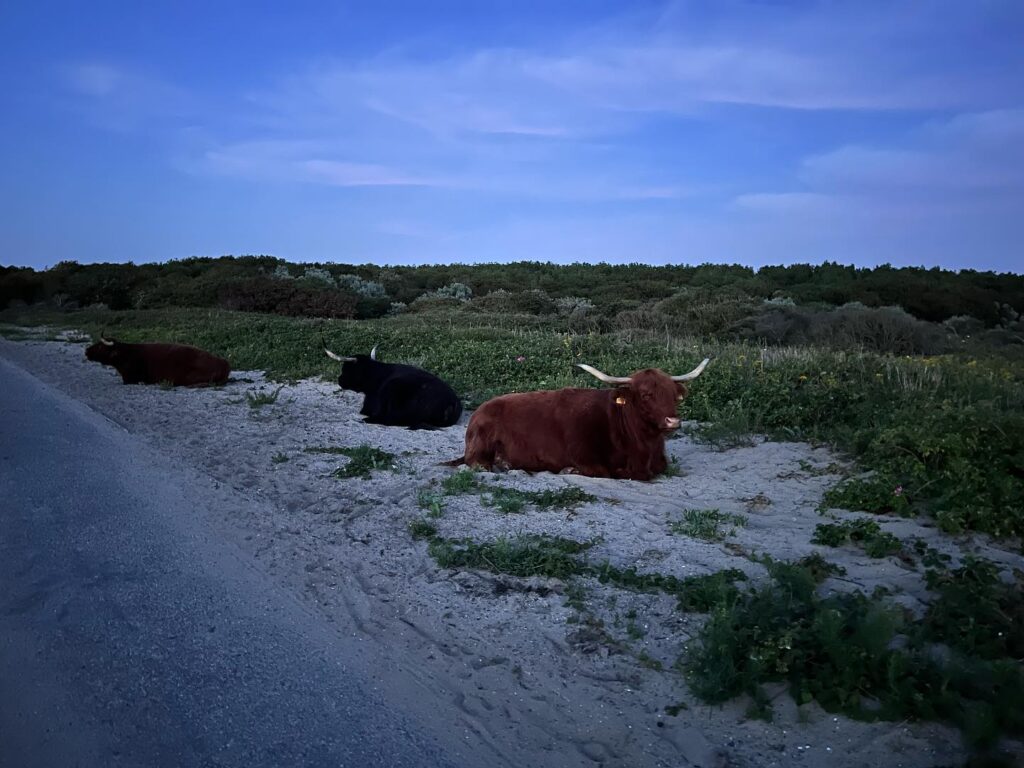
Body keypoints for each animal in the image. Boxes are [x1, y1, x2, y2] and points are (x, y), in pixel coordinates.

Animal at [323, 344, 464, 430]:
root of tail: (452, 401)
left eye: (346, 368)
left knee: (389, 419)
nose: (339, 380)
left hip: (393, 392)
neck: (377, 376)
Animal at [452, 360, 708, 481]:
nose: (672, 421)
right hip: (480, 448)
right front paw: (569, 470)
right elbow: (607, 472)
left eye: (674, 395)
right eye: (646, 395)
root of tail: (480, 410)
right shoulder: (583, 455)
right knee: (478, 463)